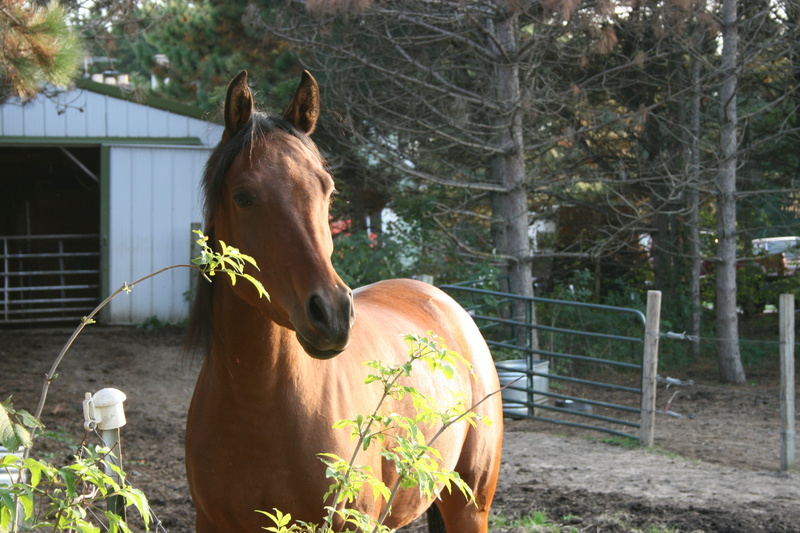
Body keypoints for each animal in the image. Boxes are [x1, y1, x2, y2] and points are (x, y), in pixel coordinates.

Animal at [184, 70, 503, 533]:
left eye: (328, 191)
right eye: (243, 196)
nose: (332, 313)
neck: (258, 406)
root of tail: (443, 303)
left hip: (469, 507)